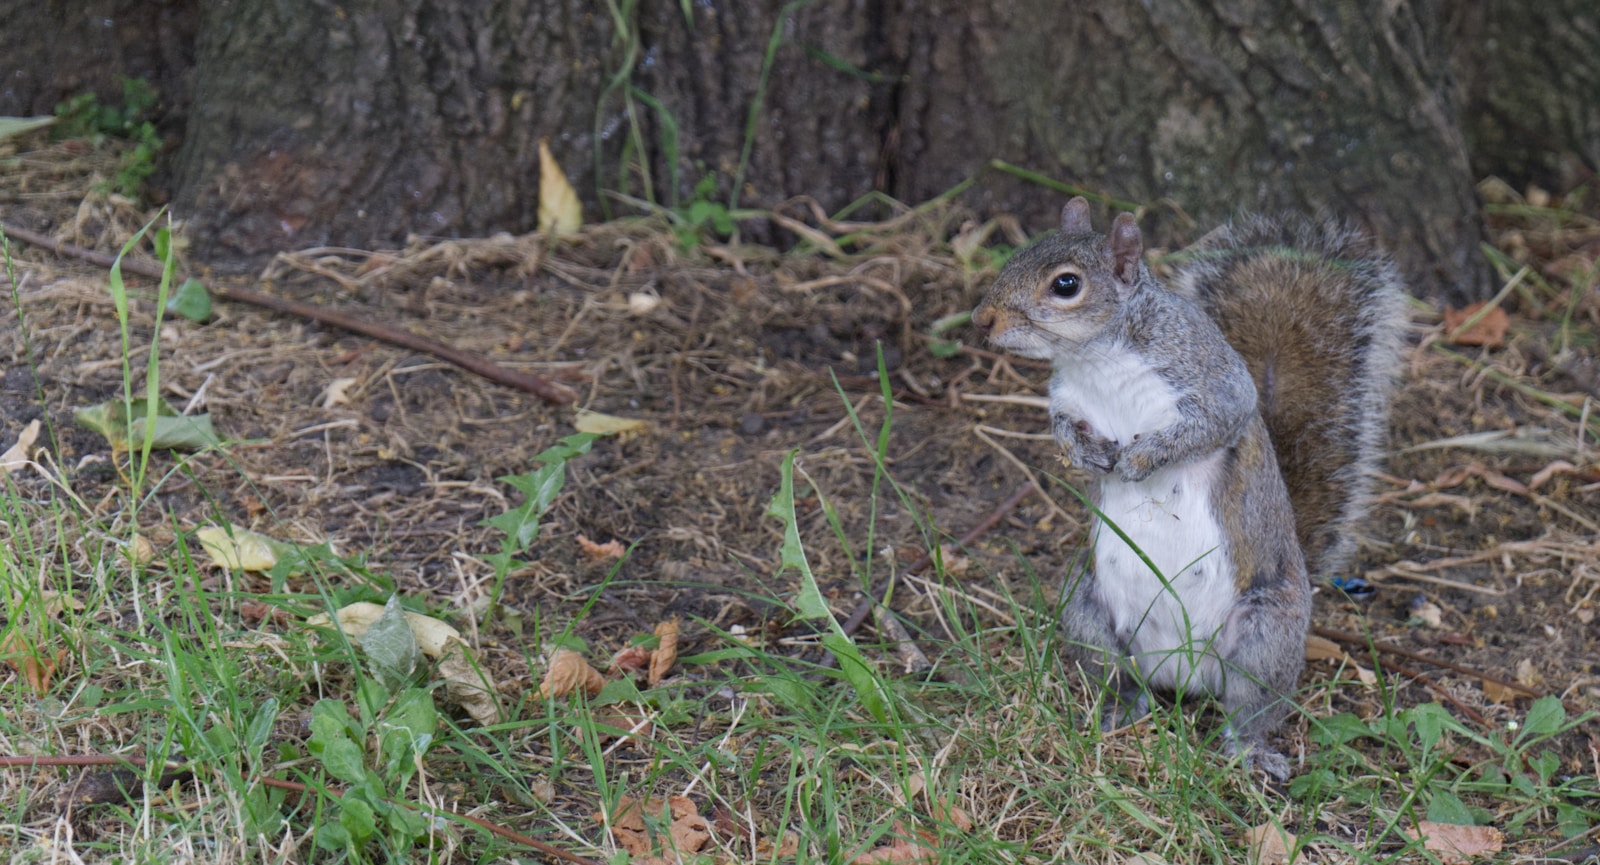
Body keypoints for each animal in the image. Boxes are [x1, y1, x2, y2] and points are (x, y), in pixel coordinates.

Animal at [971, 197, 1405, 779]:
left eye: (1066, 284)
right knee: (1119, 678)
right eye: (1018, 254)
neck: (1098, 359)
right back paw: (1118, 713)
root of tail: (1183, 676)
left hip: (1264, 635)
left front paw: (1141, 458)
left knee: (1250, 708)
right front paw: (1087, 456)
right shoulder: (1066, 400)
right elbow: (1062, 428)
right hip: (1087, 613)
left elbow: (1208, 426)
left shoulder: (1214, 383)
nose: (982, 320)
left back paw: (1249, 751)